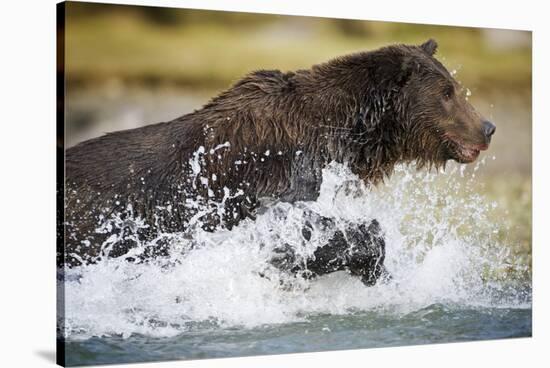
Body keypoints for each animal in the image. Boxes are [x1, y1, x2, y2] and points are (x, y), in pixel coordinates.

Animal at [61, 38, 496, 284]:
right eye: (447, 92)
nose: (488, 126)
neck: (340, 133)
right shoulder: (274, 177)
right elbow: (299, 232)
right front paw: (370, 262)